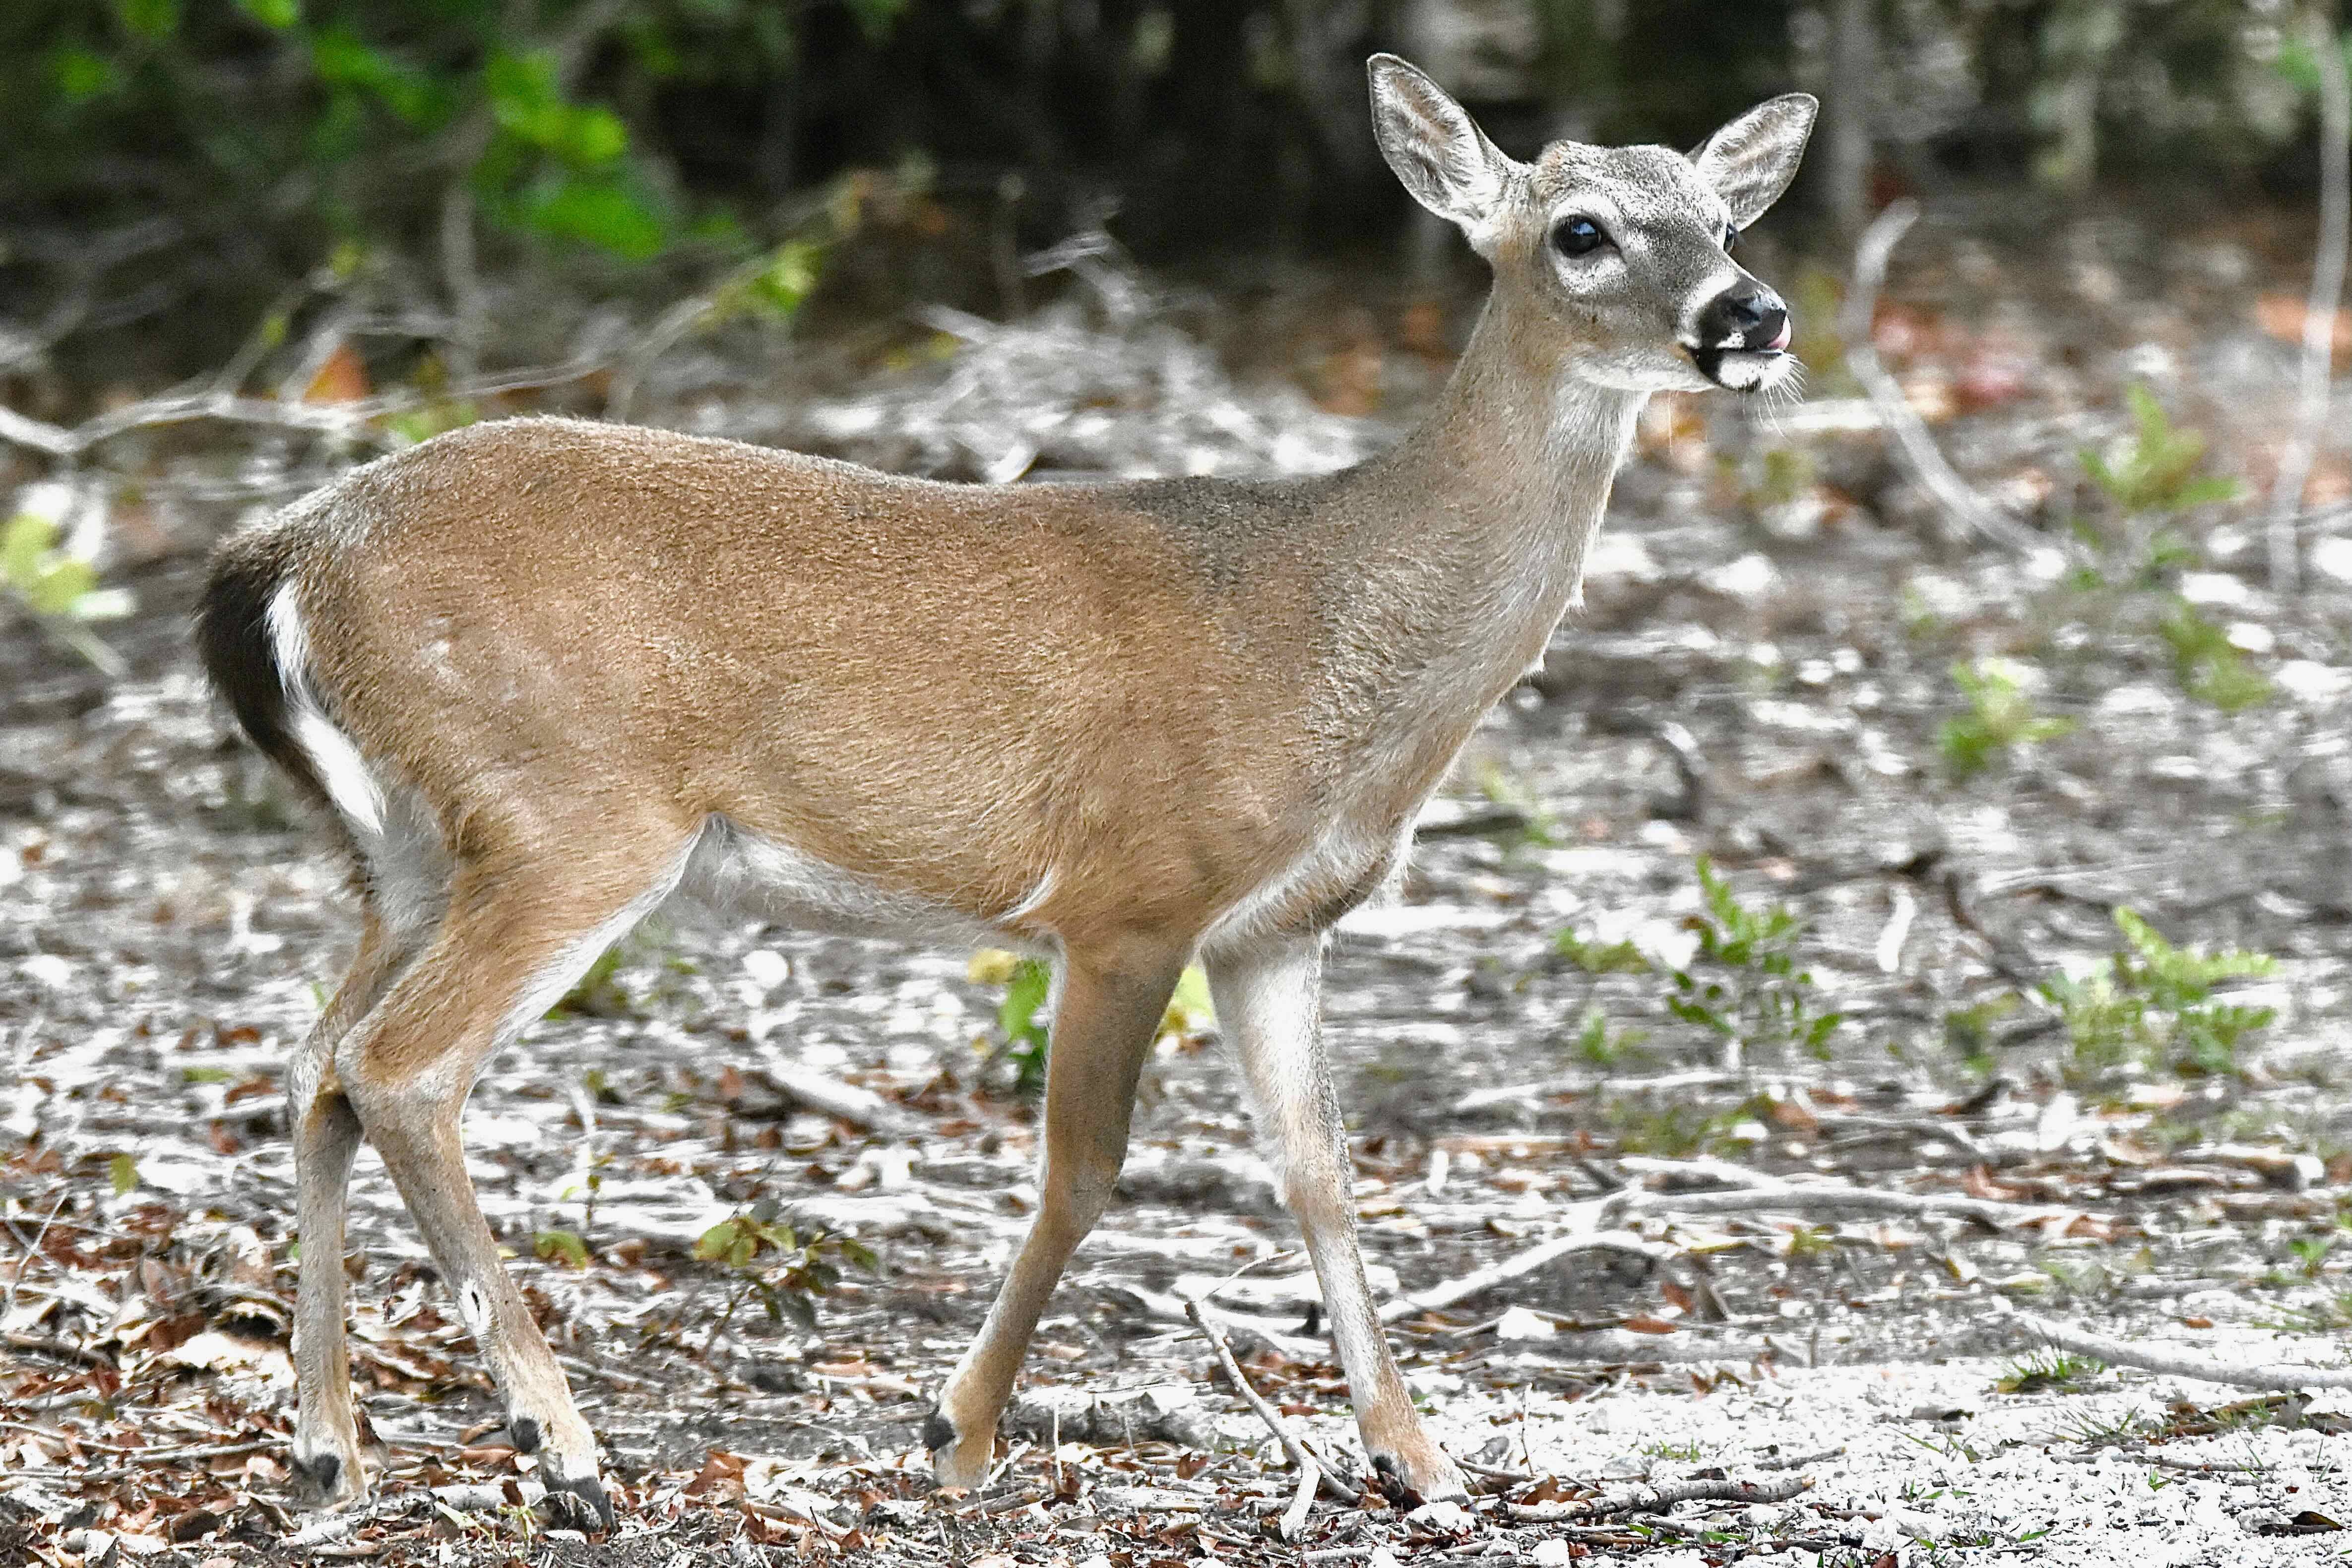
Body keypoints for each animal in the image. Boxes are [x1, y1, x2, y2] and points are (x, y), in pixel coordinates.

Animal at [196, 55, 1812, 1527]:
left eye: (1725, 218)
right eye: (1582, 230)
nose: (1752, 315)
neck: (1326, 631)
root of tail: (284, 556)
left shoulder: (1272, 927)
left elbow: (1319, 1170)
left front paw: (1416, 1463)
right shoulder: (1131, 891)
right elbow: (1086, 1169)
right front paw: (956, 1435)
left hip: (410, 844)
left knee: (315, 1061)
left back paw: (330, 1452)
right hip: (568, 813)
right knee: (402, 1065)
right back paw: (566, 1451)